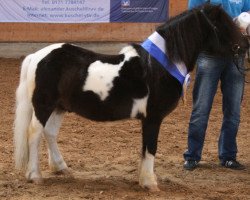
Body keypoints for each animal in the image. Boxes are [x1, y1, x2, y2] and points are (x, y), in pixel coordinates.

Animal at [13, 3, 248, 191]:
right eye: (223, 25)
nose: (244, 46)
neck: (159, 66)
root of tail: (37, 56)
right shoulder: (153, 118)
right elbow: (150, 148)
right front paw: (150, 183)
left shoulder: (148, 120)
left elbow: (144, 150)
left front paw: (144, 179)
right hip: (44, 105)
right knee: (35, 133)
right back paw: (35, 176)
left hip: (60, 107)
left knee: (50, 133)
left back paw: (61, 167)